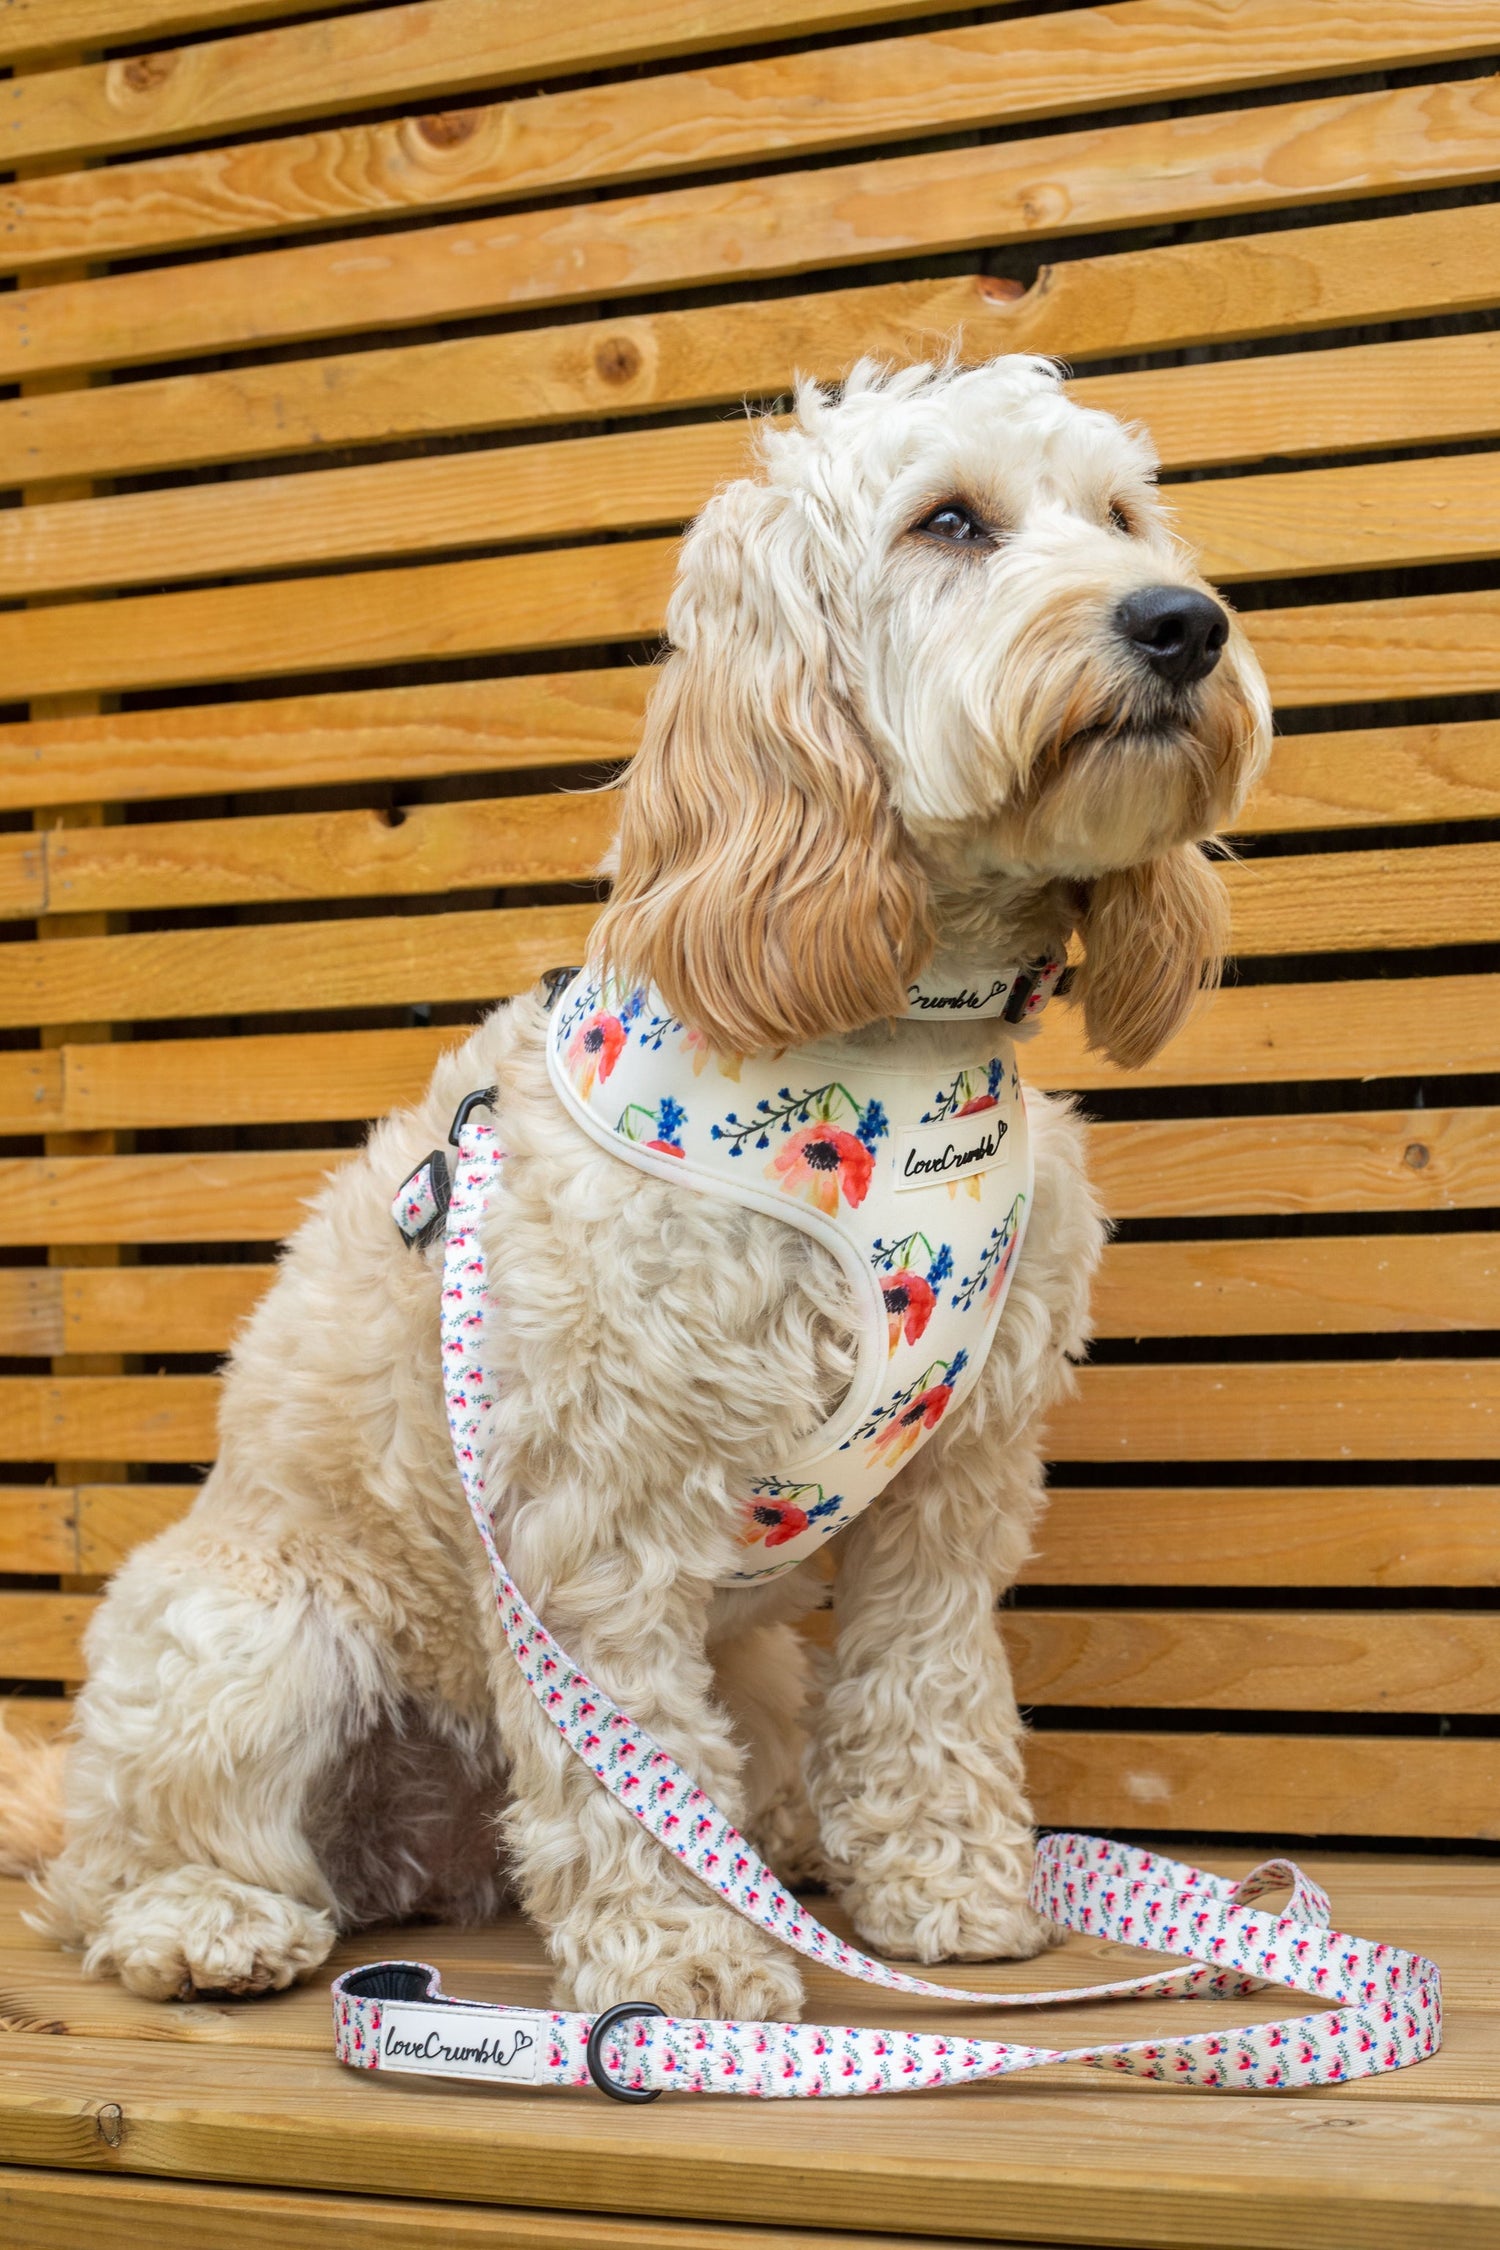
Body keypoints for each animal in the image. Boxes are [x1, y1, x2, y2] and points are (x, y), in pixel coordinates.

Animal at [5, 355, 1277, 2025]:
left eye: (1125, 515)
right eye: (949, 521)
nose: (1181, 620)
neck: (897, 1028)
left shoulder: (955, 1483)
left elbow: (927, 1686)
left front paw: (949, 1890)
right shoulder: (593, 1497)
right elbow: (629, 1762)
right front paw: (681, 1959)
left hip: (750, 1659)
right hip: (249, 1638)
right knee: (126, 1862)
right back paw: (206, 1922)